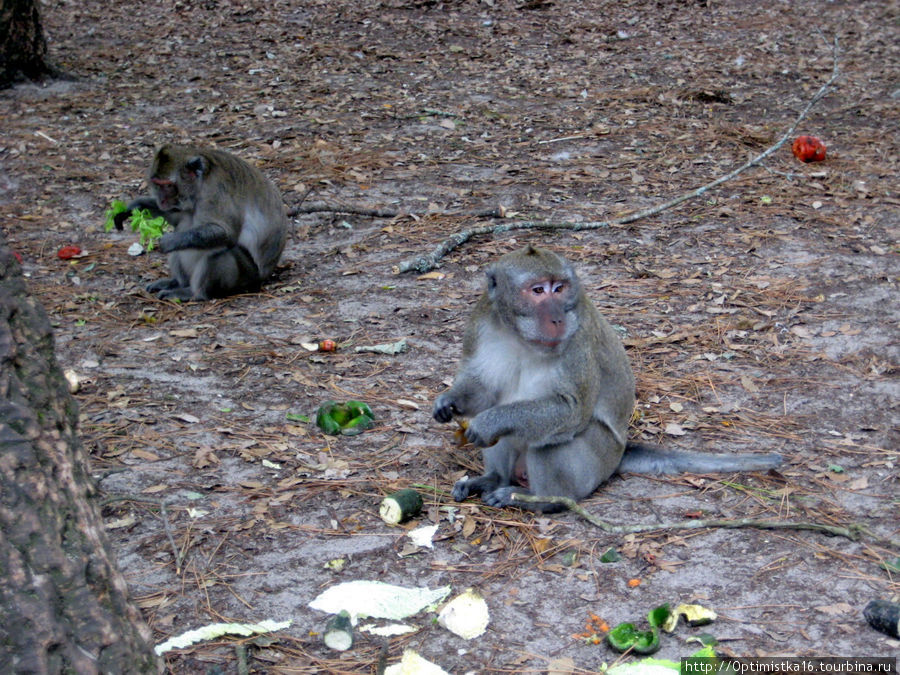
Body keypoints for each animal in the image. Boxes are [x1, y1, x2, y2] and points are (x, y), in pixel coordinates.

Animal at [114, 145, 286, 302]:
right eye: (158, 184)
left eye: (168, 185)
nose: (161, 200)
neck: (199, 185)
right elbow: (176, 218)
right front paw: (134, 207)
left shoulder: (215, 191)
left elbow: (226, 233)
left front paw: (169, 240)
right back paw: (177, 283)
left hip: (249, 276)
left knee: (221, 252)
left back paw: (194, 293)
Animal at [430, 246, 780, 516]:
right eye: (538, 290)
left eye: (559, 288)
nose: (557, 318)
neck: (520, 336)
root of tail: (617, 457)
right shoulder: (480, 322)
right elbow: (485, 391)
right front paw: (450, 401)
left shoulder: (578, 337)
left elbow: (569, 411)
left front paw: (489, 422)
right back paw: (494, 479)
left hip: (594, 466)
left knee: (552, 439)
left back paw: (541, 501)